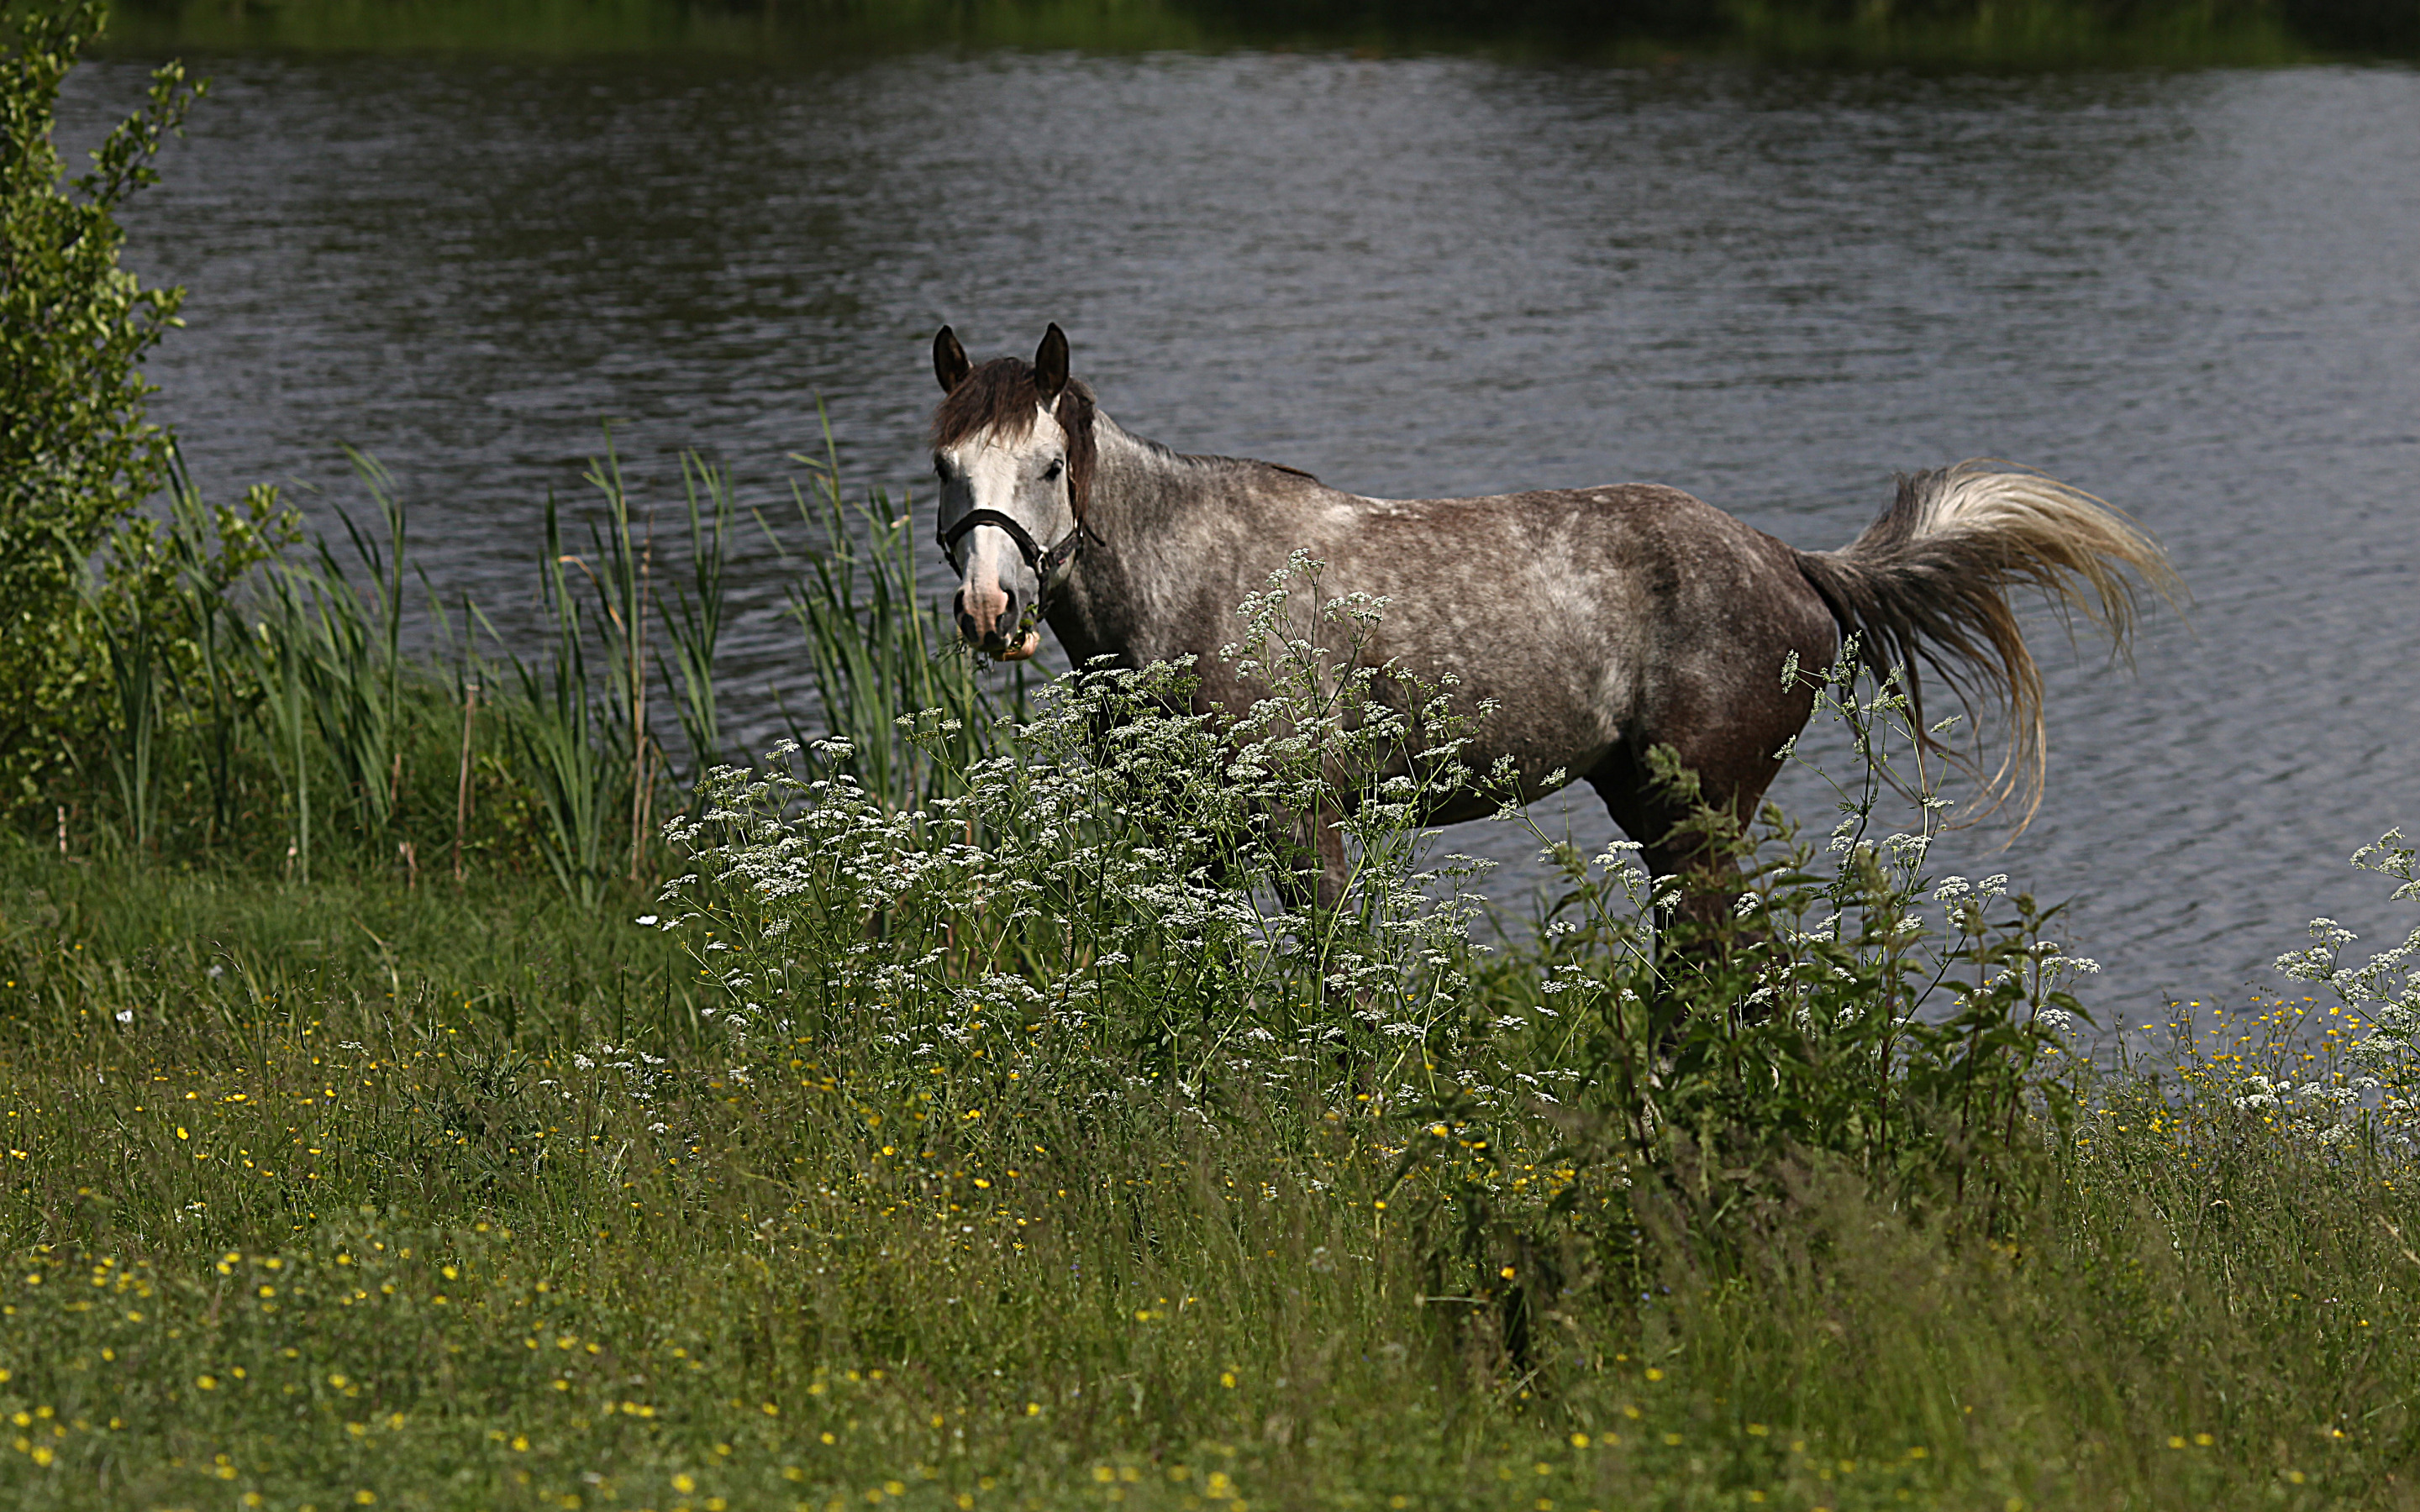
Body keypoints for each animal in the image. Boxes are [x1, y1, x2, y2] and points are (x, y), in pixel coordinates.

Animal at [919, 322, 2178, 919]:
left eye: (1046, 466)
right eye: (944, 466)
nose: (990, 607)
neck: (1199, 578)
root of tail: (1792, 564)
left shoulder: (1304, 823)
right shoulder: (1180, 837)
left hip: (1701, 817)